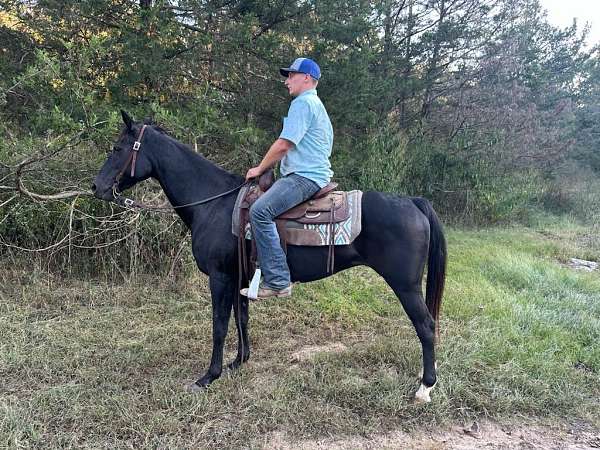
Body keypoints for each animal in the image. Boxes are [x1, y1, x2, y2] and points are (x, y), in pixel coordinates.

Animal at [92, 110, 446, 402]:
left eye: (118, 148)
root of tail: (414, 202)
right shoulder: (239, 277)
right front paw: (239, 362)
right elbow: (241, 318)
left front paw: (208, 377)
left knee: (426, 326)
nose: (97, 187)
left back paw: (424, 387)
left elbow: (219, 325)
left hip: (405, 285)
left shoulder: (220, 278)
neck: (213, 203)